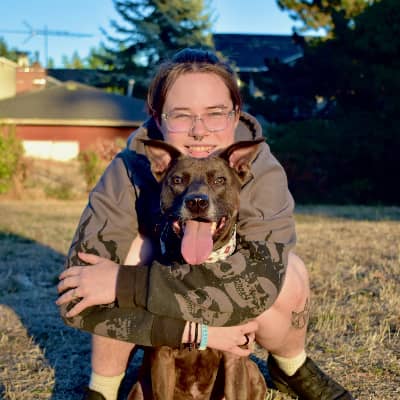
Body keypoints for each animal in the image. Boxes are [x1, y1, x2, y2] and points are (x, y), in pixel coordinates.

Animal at [128, 138, 267, 400]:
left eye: (219, 180)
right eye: (177, 180)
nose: (197, 202)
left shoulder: (234, 354)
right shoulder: (162, 355)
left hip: (253, 370)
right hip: (138, 388)